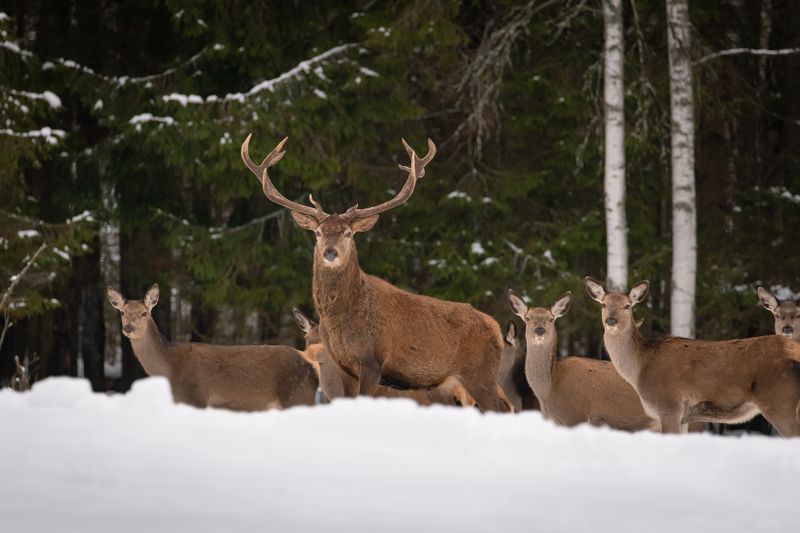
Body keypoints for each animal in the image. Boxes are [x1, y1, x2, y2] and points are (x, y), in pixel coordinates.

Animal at [107, 284, 318, 411]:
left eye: (144, 313)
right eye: (122, 312)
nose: (128, 328)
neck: (170, 370)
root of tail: (311, 366)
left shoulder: (196, 397)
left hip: (298, 396)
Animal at [584, 277, 800, 436]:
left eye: (627, 306)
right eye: (603, 304)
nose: (611, 320)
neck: (640, 369)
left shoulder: (669, 406)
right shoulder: (684, 417)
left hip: (780, 401)